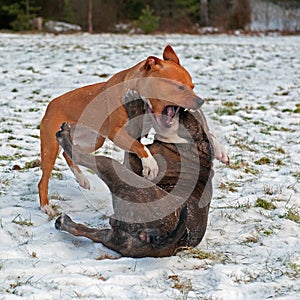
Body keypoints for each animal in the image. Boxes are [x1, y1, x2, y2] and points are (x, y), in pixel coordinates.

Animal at [38, 44, 202, 214]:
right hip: (50, 147)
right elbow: (140, 146)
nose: (200, 101)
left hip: (93, 140)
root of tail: (51, 104)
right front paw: (150, 164)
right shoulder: (116, 133)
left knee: (67, 152)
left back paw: (82, 179)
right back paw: (46, 207)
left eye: (192, 87)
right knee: (43, 180)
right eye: (180, 87)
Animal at [54, 92, 213, 258]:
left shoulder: (133, 162)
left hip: (115, 171)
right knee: (87, 231)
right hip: (116, 238)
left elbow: (136, 136)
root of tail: (163, 235)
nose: (182, 108)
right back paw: (64, 222)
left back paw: (64, 136)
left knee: (82, 157)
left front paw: (133, 103)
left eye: (186, 116)